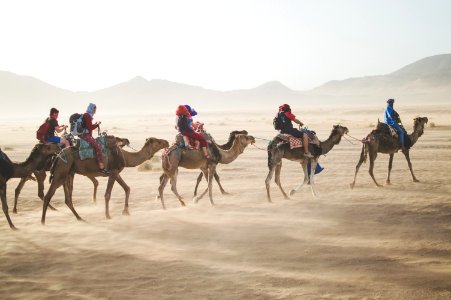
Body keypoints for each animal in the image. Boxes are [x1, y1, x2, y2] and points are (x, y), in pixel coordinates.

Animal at [41, 137, 169, 224]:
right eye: (158, 141)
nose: (167, 142)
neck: (125, 157)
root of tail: (57, 156)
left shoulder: (116, 173)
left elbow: (127, 188)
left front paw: (126, 211)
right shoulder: (113, 172)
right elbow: (108, 194)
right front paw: (108, 215)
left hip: (67, 173)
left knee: (67, 199)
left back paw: (79, 218)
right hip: (61, 173)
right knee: (48, 196)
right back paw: (43, 222)